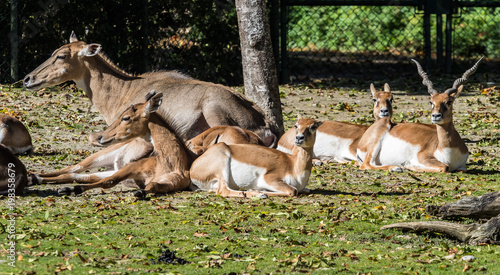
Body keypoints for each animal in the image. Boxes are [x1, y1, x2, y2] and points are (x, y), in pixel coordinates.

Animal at [57, 91, 193, 197]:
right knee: (72, 169)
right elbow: (109, 181)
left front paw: (140, 192)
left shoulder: (171, 184)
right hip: (99, 157)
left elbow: (153, 185)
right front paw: (69, 189)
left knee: (75, 175)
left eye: (126, 117)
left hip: (111, 168)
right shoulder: (133, 166)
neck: (171, 164)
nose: (101, 137)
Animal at [188, 116, 324, 198]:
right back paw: (258, 194)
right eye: (296, 125)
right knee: (223, 190)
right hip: (222, 166)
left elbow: (305, 189)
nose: (299, 138)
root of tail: (193, 167)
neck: (294, 164)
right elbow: (292, 190)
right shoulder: (270, 178)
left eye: (313, 126)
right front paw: (260, 191)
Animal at [354, 57, 482, 172]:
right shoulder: (423, 157)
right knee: (366, 164)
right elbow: (445, 167)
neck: (448, 150)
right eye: (431, 102)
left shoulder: (462, 166)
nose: (435, 116)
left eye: (449, 101)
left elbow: (461, 169)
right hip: (382, 127)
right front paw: (408, 165)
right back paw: (395, 167)